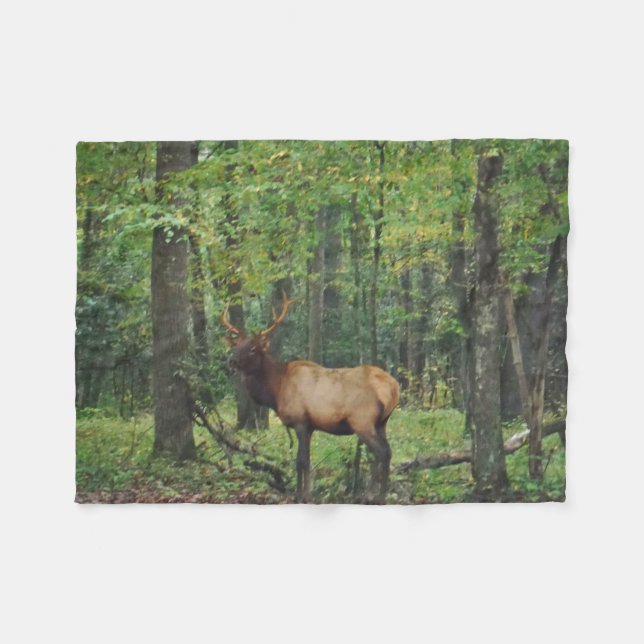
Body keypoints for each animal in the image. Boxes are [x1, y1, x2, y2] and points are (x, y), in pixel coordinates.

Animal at [220, 293, 400, 503]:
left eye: (253, 348)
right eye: (236, 346)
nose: (231, 361)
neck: (276, 390)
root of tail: (393, 387)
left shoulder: (300, 420)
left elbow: (301, 460)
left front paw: (300, 496)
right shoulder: (311, 426)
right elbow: (308, 460)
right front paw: (308, 493)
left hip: (362, 420)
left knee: (380, 453)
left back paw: (374, 496)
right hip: (382, 422)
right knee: (388, 451)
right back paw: (379, 494)